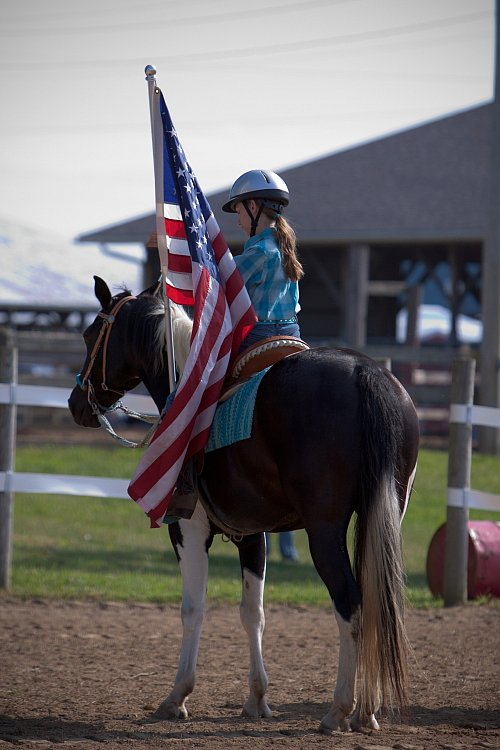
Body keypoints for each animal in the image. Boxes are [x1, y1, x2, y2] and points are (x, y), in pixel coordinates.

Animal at [67, 276, 418, 736]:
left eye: (90, 334)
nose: (77, 404)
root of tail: (366, 373)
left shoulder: (189, 529)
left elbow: (193, 608)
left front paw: (177, 697)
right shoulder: (253, 535)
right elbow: (253, 613)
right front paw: (257, 699)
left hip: (325, 531)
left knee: (350, 602)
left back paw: (340, 709)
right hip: (382, 517)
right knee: (377, 601)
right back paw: (367, 711)